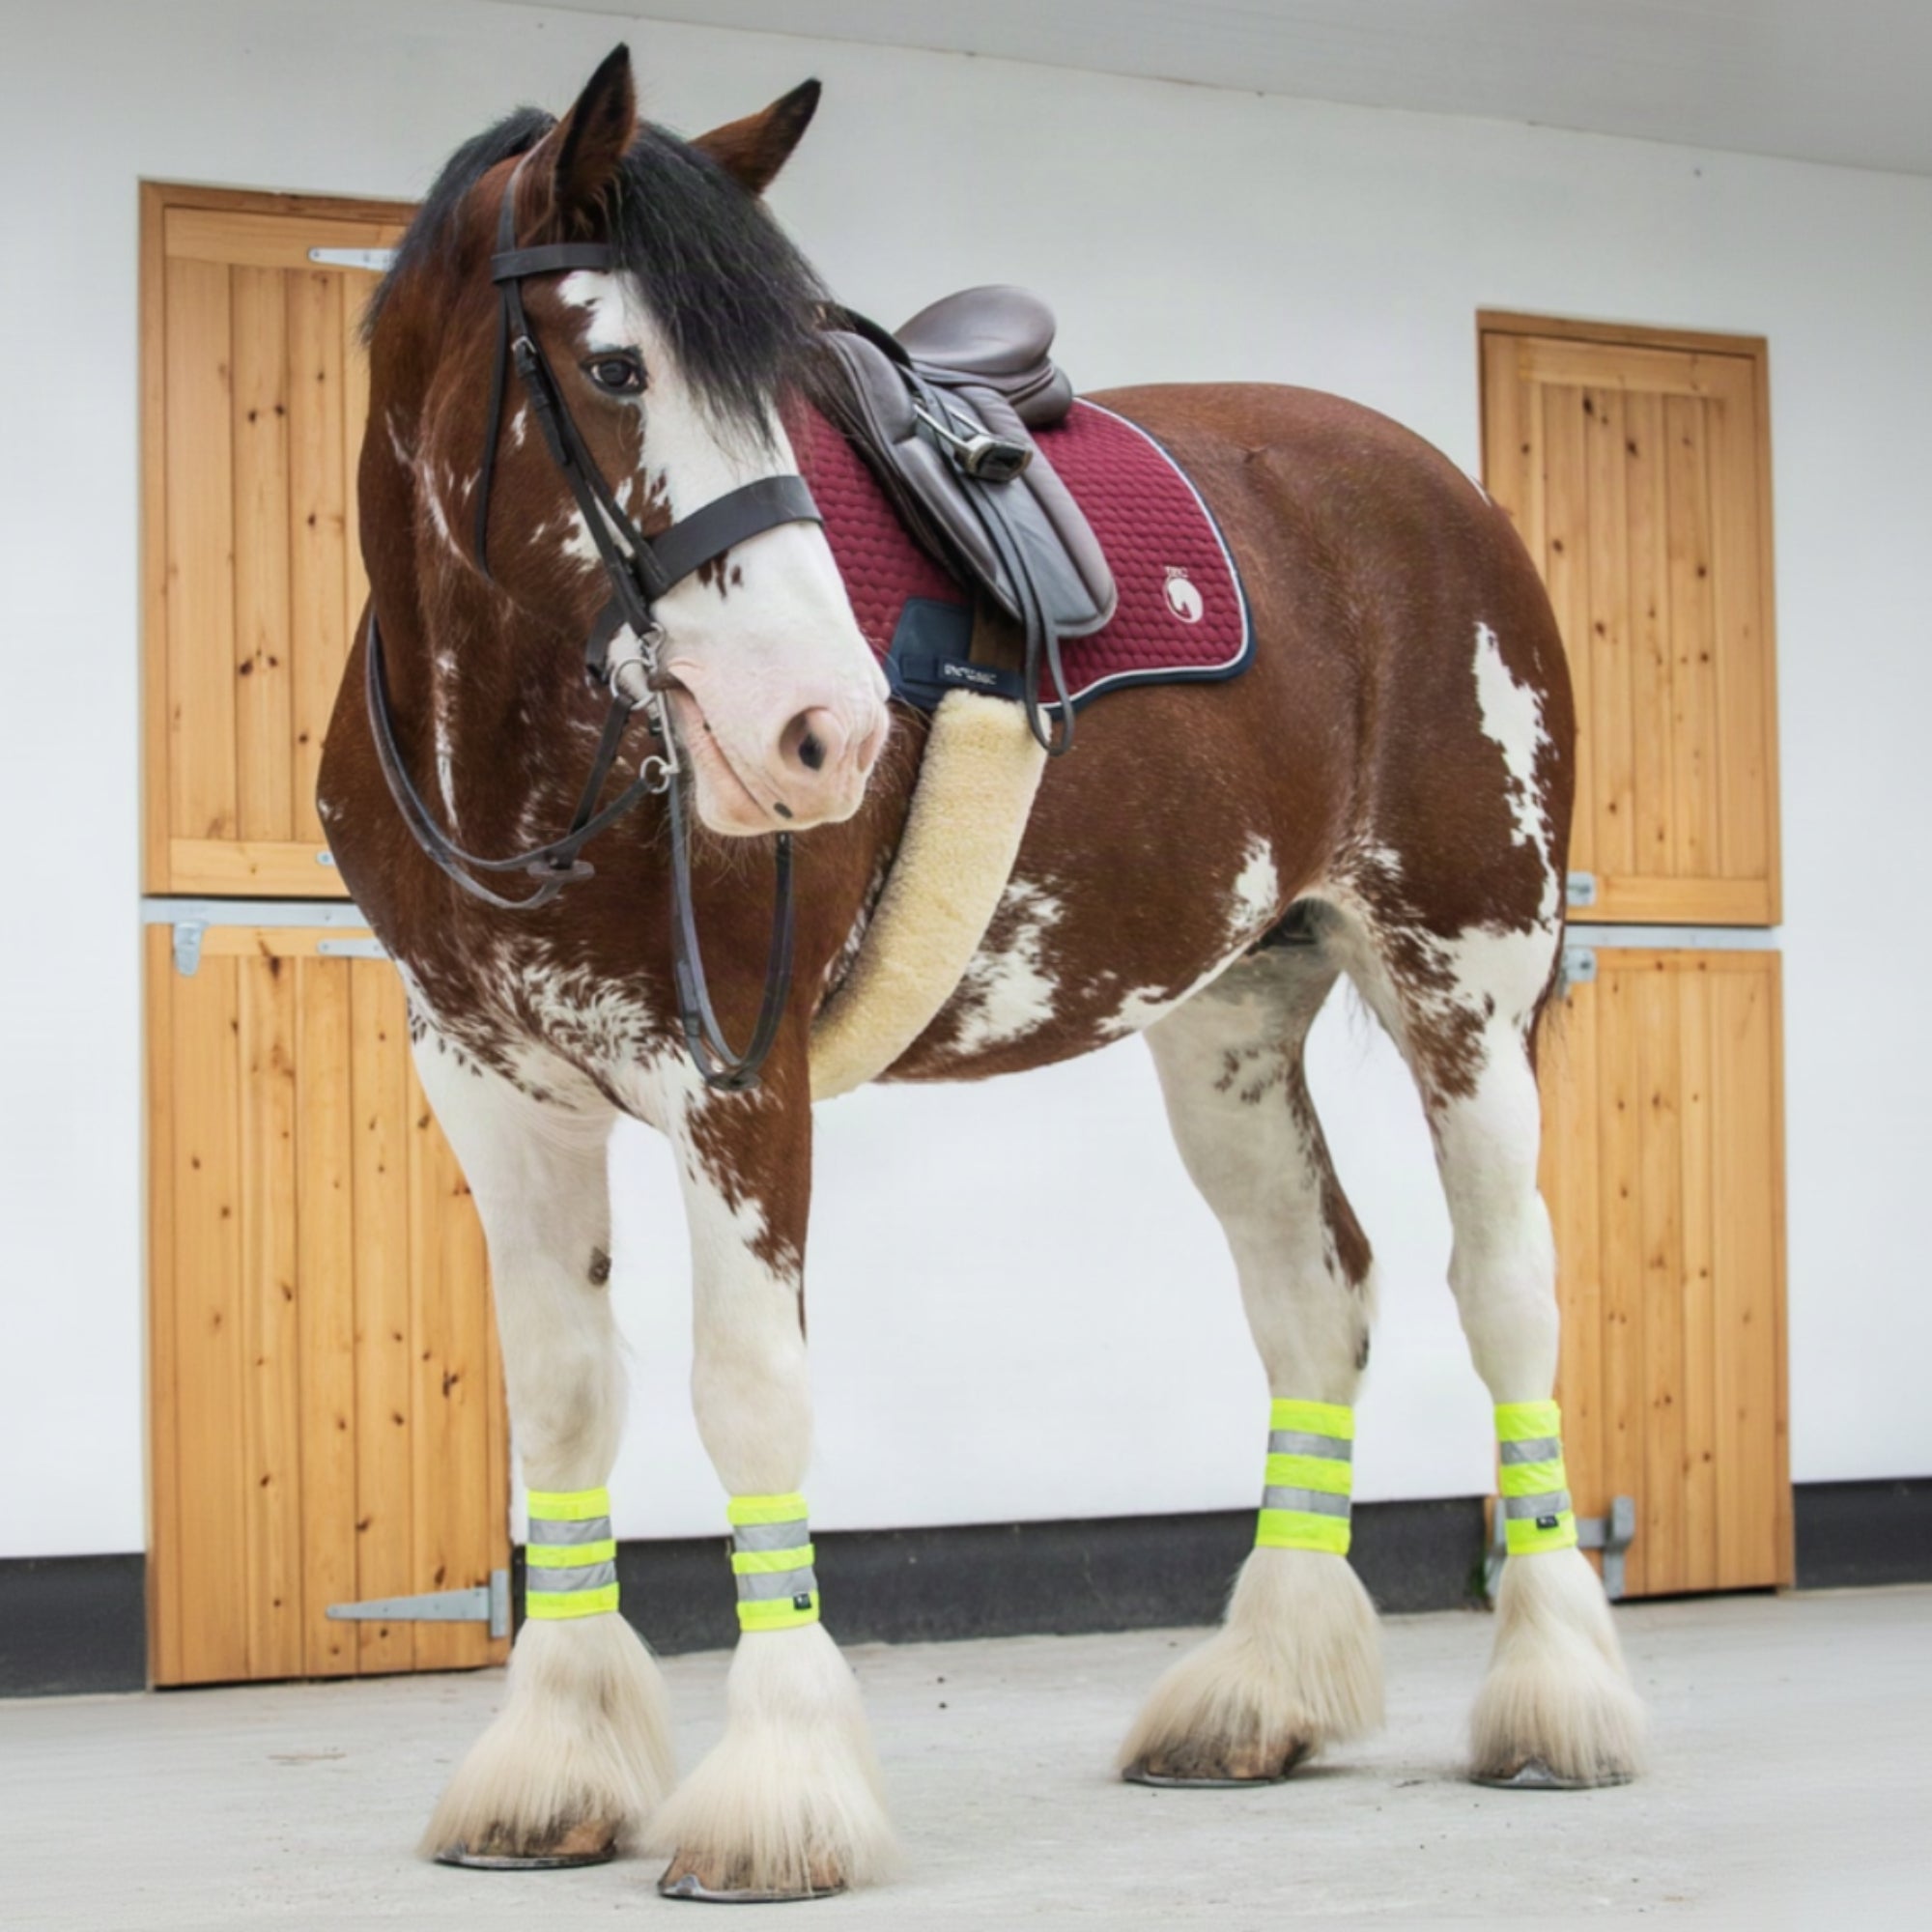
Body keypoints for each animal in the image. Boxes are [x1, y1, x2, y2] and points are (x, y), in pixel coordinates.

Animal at [317, 43, 1645, 1902]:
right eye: (611, 366)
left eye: (786, 388)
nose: (822, 736)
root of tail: (1433, 488)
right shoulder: (493, 1086)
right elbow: (565, 1408)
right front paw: (551, 1770)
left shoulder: (738, 1082)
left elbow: (749, 1398)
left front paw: (781, 1792)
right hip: (1230, 1024)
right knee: (1318, 1296)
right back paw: (1260, 1693)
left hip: (1470, 982)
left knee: (1506, 1291)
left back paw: (1557, 1699)